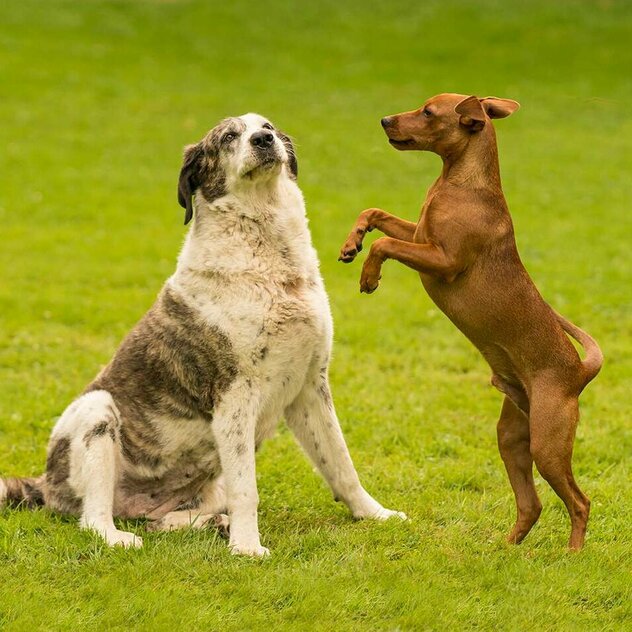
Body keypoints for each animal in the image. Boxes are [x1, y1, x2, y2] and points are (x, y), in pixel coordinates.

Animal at [1, 112, 404, 552]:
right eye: (229, 137)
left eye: (267, 127)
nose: (263, 141)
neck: (268, 260)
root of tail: (44, 484)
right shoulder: (235, 397)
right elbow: (249, 490)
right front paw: (248, 549)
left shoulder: (310, 387)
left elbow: (340, 462)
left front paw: (375, 515)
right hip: (97, 412)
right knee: (93, 519)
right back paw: (125, 537)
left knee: (162, 522)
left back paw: (211, 523)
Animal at [340, 92, 604, 548]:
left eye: (428, 113)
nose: (385, 119)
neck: (459, 184)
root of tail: (580, 370)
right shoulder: (419, 235)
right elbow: (375, 214)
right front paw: (351, 242)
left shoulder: (441, 260)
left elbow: (385, 243)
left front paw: (369, 275)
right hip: (512, 439)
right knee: (532, 504)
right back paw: (508, 547)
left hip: (548, 446)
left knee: (579, 502)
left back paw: (573, 553)